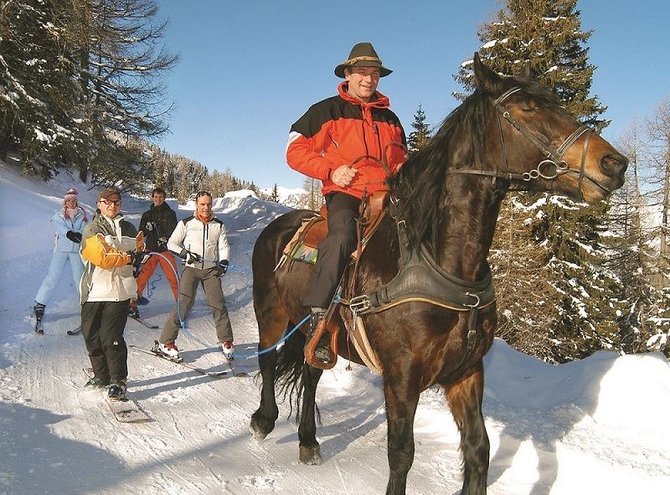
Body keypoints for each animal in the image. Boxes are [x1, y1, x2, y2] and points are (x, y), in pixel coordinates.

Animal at [249, 55, 628, 495]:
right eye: (528, 107)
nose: (614, 164)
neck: (434, 260)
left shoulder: (466, 372)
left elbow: (479, 449)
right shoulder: (401, 378)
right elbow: (401, 454)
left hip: (318, 335)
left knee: (310, 372)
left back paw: (308, 440)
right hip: (271, 314)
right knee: (268, 360)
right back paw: (264, 419)